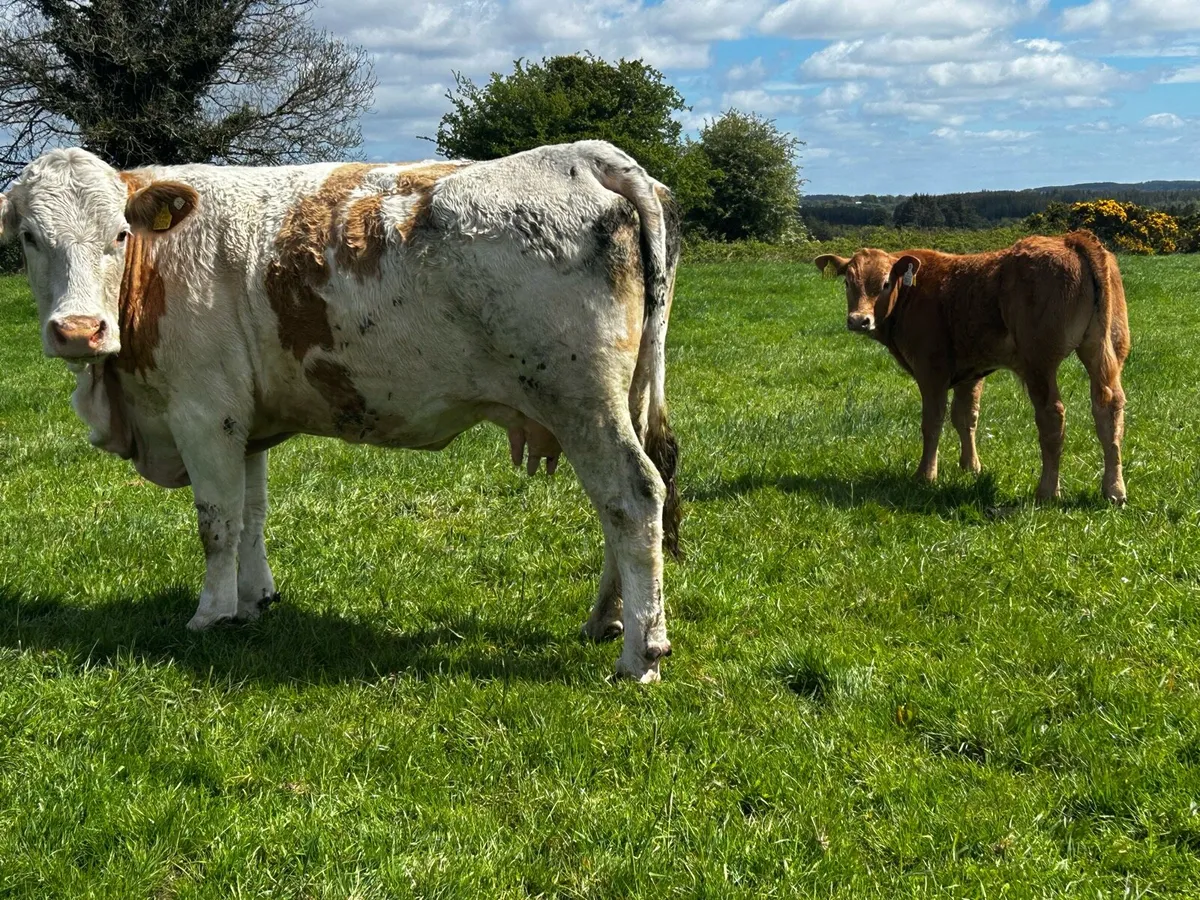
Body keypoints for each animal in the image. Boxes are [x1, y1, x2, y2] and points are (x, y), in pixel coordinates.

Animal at [0, 140, 682, 682]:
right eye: (29, 238)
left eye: (118, 234)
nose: (78, 331)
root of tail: (586, 155)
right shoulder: (247, 423)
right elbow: (252, 514)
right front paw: (253, 601)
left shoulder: (204, 414)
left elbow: (217, 522)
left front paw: (210, 614)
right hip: (612, 402)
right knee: (622, 506)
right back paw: (606, 620)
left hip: (580, 402)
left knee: (632, 497)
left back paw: (639, 652)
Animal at [814, 232, 1129, 504]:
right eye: (847, 283)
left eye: (885, 284)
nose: (859, 320)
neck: (912, 292)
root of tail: (1069, 239)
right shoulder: (972, 371)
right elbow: (965, 417)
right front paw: (971, 467)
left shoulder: (932, 369)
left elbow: (933, 422)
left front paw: (925, 475)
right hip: (1106, 347)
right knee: (1108, 406)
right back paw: (1114, 490)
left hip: (1039, 361)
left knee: (1052, 415)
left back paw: (1048, 491)